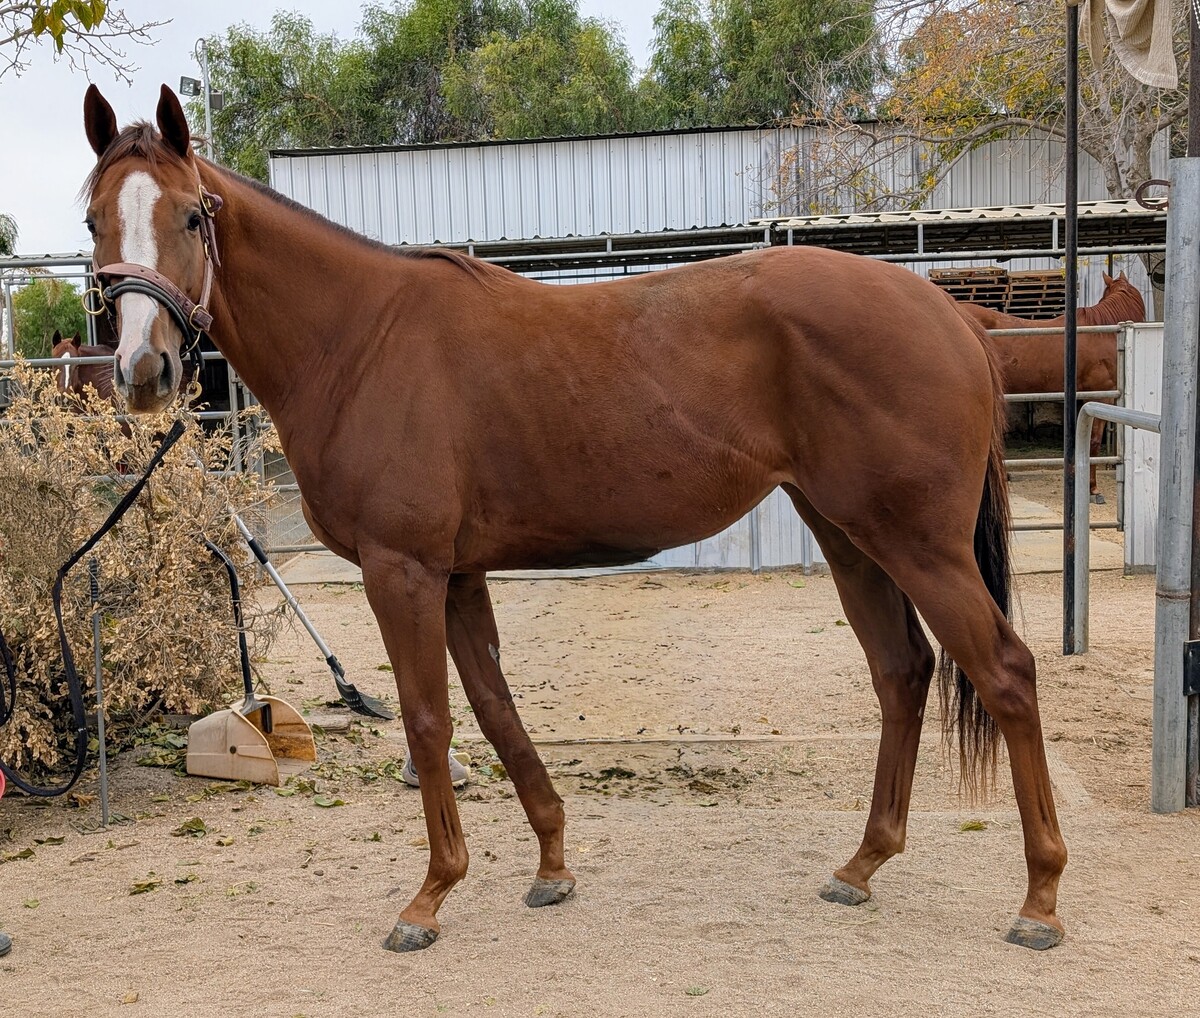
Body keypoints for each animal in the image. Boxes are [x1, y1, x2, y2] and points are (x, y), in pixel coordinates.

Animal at [78, 84, 1067, 953]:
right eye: (93, 220)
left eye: (193, 216)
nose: (144, 372)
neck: (361, 340)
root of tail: (949, 313)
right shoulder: (458, 573)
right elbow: (495, 710)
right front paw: (551, 863)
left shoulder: (402, 570)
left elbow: (428, 721)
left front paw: (428, 899)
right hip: (848, 534)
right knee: (902, 673)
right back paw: (862, 865)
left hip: (918, 544)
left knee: (1007, 674)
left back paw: (1040, 899)